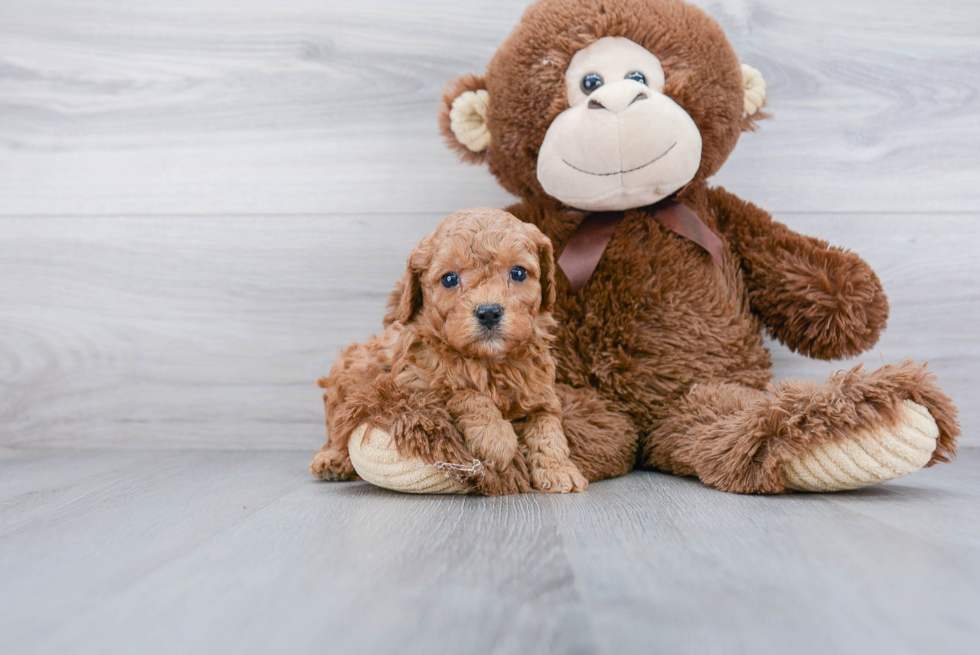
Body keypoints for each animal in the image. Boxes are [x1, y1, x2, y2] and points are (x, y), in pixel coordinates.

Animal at [310, 208, 584, 494]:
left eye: (518, 273)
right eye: (450, 279)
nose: (489, 312)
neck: (488, 362)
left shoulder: (542, 395)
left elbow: (548, 429)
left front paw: (559, 470)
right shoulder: (413, 384)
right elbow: (463, 392)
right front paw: (496, 438)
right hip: (347, 380)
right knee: (338, 429)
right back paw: (332, 460)